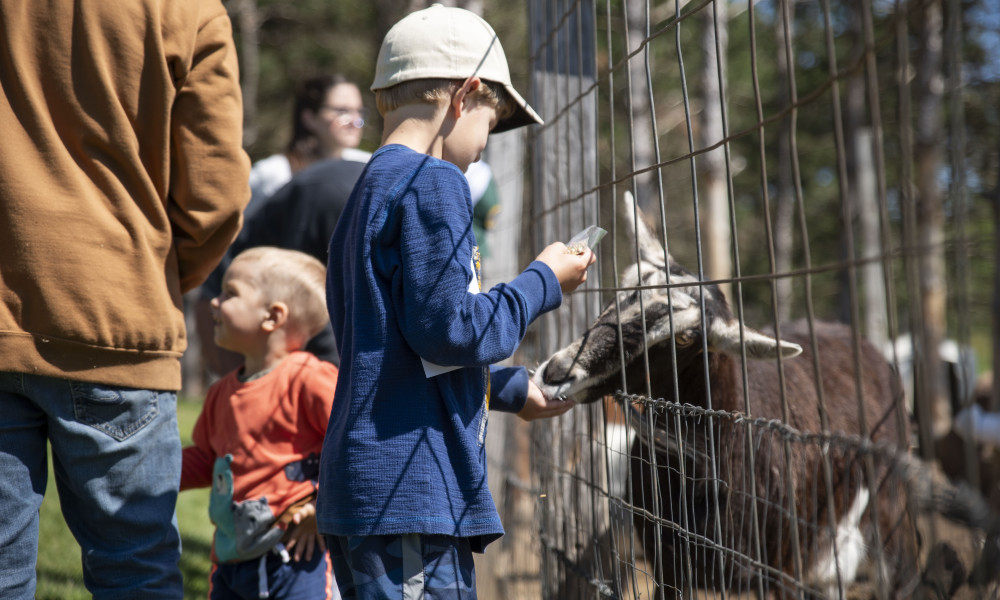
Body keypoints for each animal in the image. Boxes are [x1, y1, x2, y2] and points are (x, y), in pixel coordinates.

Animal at [532, 195, 995, 598]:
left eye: (684, 339)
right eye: (621, 291)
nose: (555, 373)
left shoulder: (783, 569)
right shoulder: (667, 566)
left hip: (887, 528)